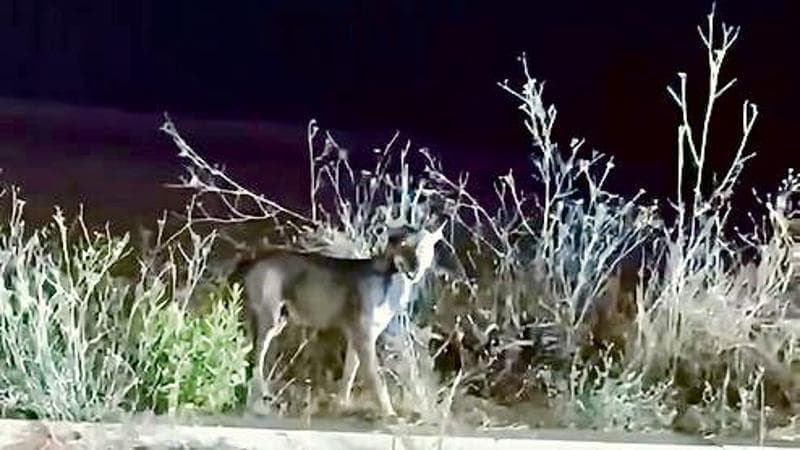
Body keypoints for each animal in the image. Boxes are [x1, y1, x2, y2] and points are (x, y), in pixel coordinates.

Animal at [235, 223, 446, 418]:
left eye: (424, 247)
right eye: (404, 244)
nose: (415, 267)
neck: (392, 281)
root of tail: (256, 258)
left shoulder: (357, 336)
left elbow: (350, 372)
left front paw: (342, 405)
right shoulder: (364, 337)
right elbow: (376, 378)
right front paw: (389, 413)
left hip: (279, 321)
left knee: (246, 349)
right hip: (270, 320)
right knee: (256, 356)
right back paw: (258, 399)